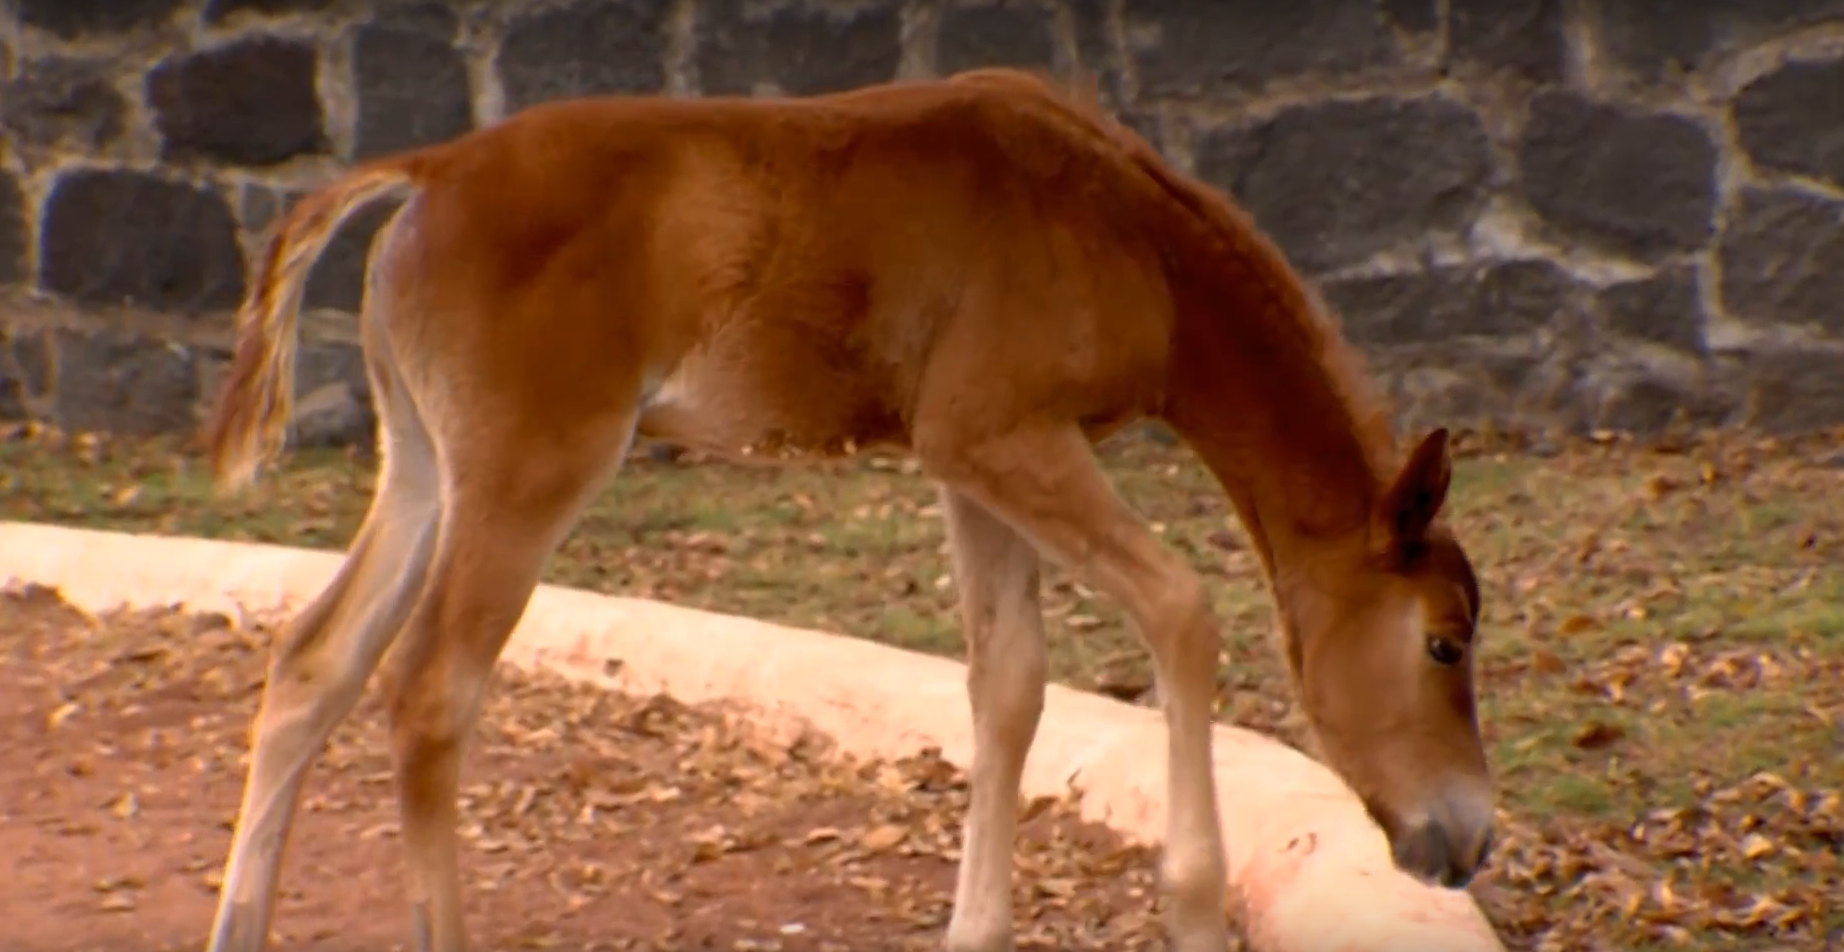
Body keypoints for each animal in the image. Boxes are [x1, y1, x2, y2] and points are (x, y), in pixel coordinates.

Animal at [198, 68, 1497, 952]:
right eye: (1441, 642)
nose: (1469, 838)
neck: (1126, 235)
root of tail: (430, 172)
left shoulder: (969, 464)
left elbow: (1007, 681)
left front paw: (974, 929)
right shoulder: (1001, 435)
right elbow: (1180, 607)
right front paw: (1188, 904)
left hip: (423, 467)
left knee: (313, 661)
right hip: (528, 469)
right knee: (427, 693)